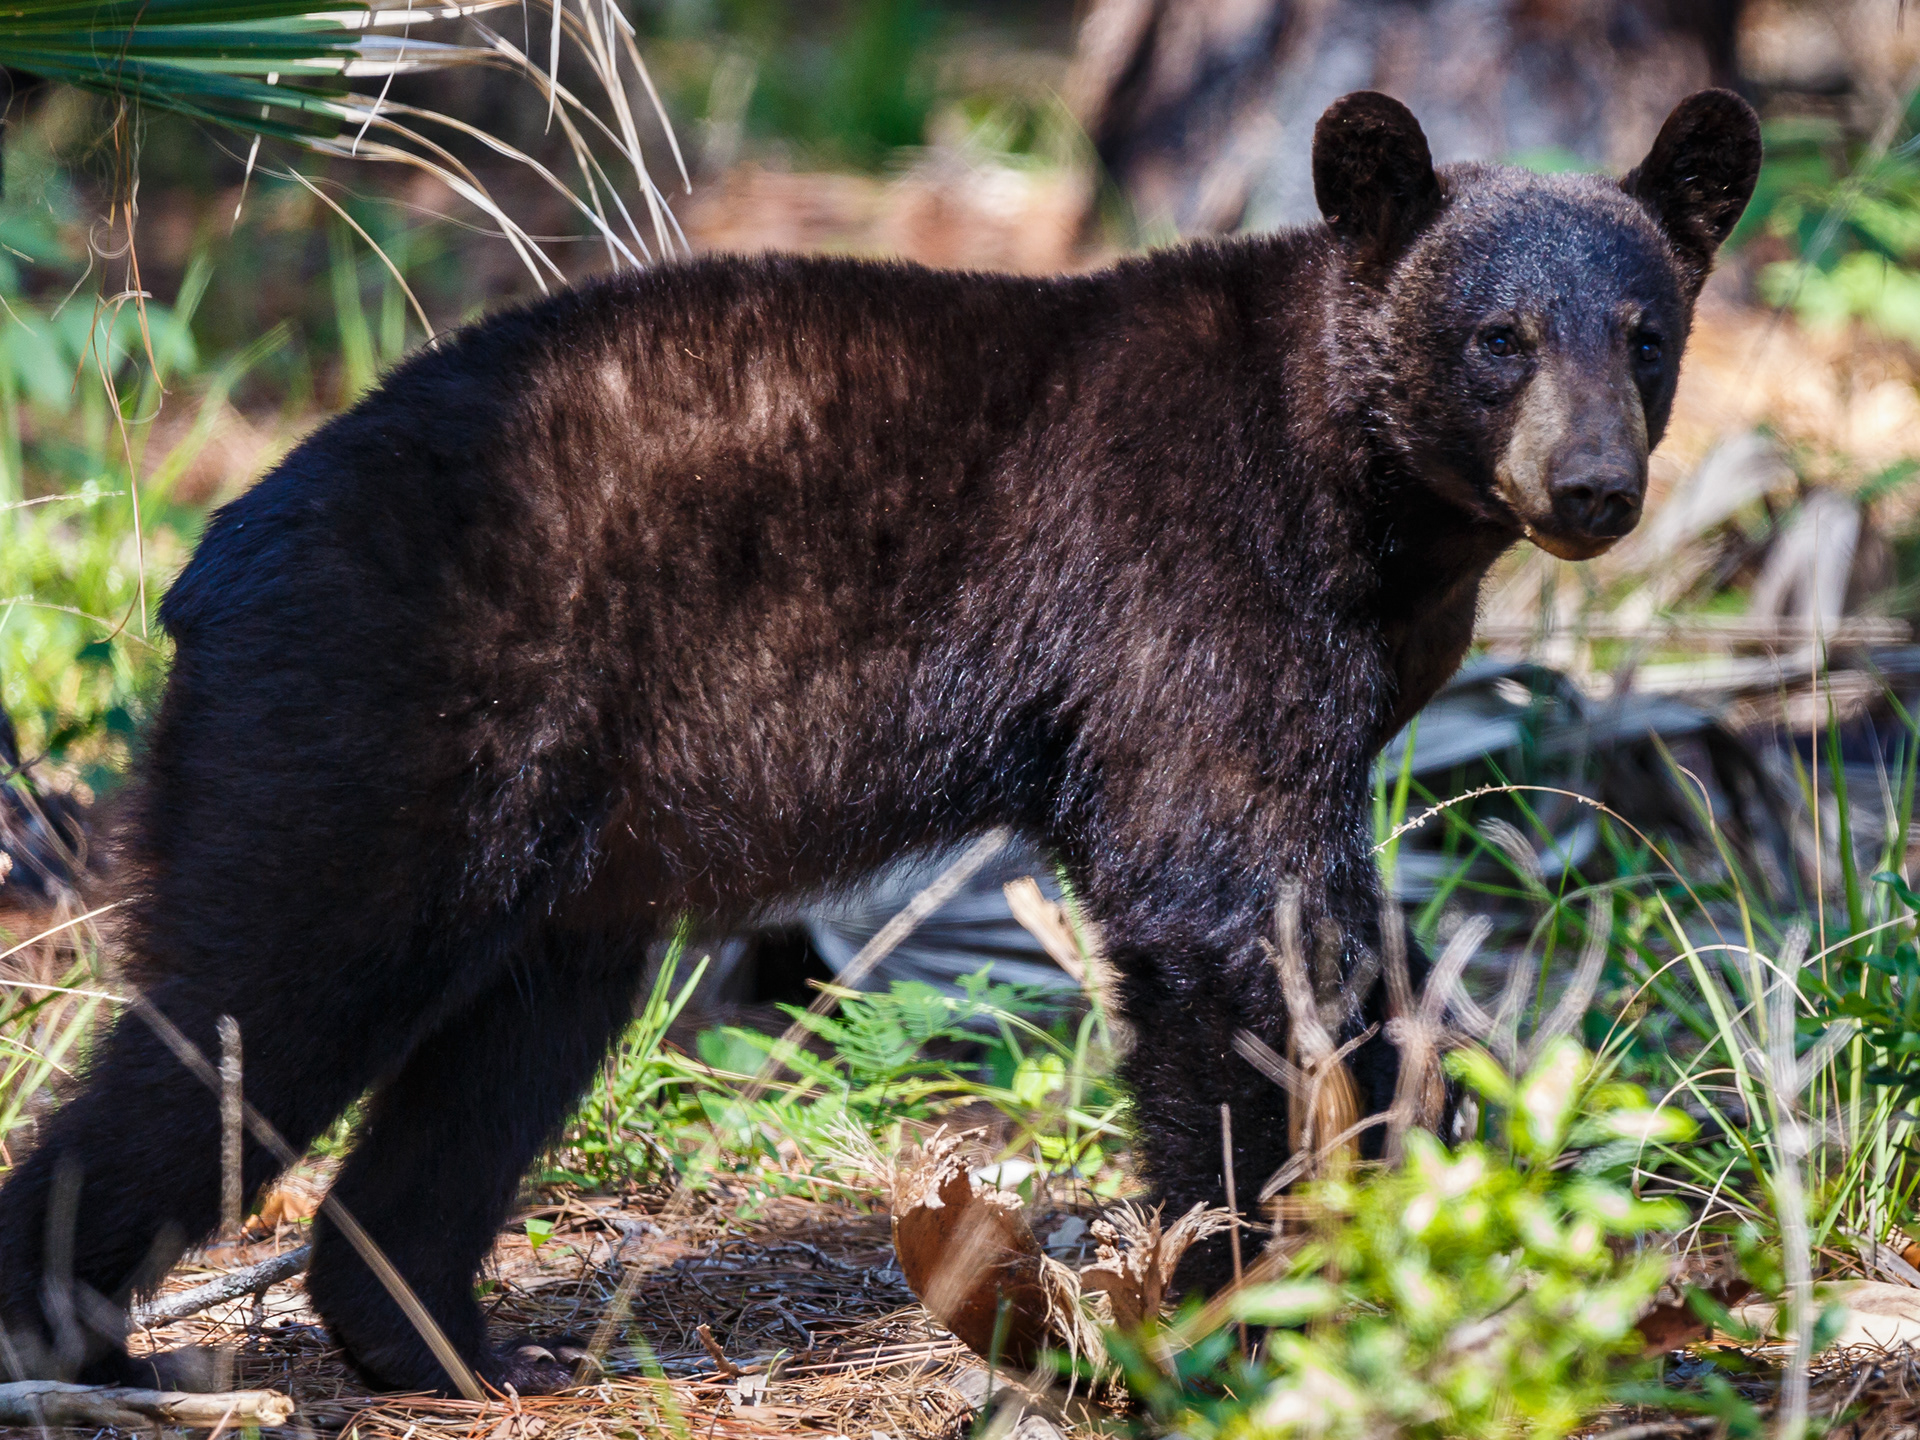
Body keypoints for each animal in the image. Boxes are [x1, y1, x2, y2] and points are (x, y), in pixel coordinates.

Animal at [0, 87, 1760, 1396]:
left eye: (1644, 332)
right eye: (1498, 338)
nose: (1594, 487)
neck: (1349, 485)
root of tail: (208, 565)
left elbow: (1338, 931)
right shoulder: (1185, 598)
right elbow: (1205, 902)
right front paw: (1242, 1296)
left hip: (570, 853)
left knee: (495, 1054)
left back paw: (445, 1348)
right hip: (375, 725)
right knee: (252, 1007)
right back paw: (84, 1340)